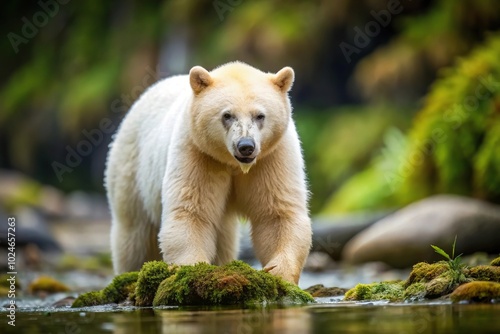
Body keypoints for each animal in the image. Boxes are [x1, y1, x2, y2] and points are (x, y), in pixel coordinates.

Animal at [104, 61, 310, 284]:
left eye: (260, 115)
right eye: (227, 115)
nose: (246, 146)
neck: (232, 163)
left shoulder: (271, 156)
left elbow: (277, 213)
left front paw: (278, 271)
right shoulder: (198, 152)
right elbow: (191, 212)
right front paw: (193, 269)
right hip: (131, 167)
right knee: (134, 234)